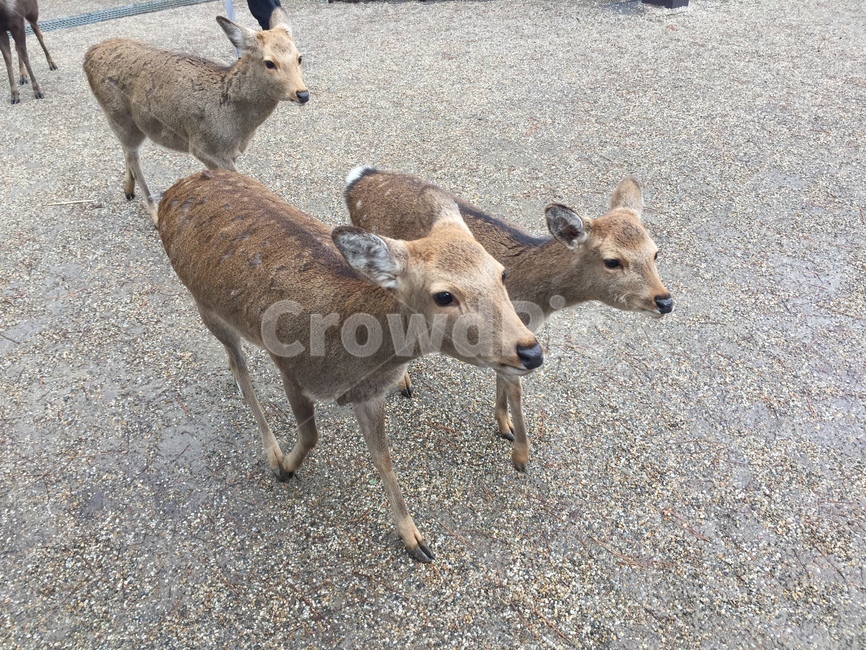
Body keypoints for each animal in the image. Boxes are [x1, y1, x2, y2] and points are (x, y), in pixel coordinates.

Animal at [83, 8, 308, 225]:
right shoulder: (204, 147)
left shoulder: (229, 152)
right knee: (133, 157)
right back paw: (153, 212)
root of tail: (88, 54)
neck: (238, 127)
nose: (302, 94)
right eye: (269, 63)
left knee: (126, 152)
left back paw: (128, 190)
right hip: (121, 119)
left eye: (299, 57)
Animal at [157, 169, 543, 562]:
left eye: (502, 274)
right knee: (239, 367)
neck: (346, 356)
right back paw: (273, 453)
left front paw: (415, 540)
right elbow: (311, 434)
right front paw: (286, 468)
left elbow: (383, 458)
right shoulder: (291, 369)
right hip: (204, 303)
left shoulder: (369, 394)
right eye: (444, 296)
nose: (530, 351)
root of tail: (176, 188)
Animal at [345, 167, 673, 472]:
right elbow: (515, 388)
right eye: (612, 261)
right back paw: (403, 382)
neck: (536, 300)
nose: (665, 301)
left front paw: (504, 425)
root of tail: (358, 179)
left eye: (656, 253)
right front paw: (519, 454)